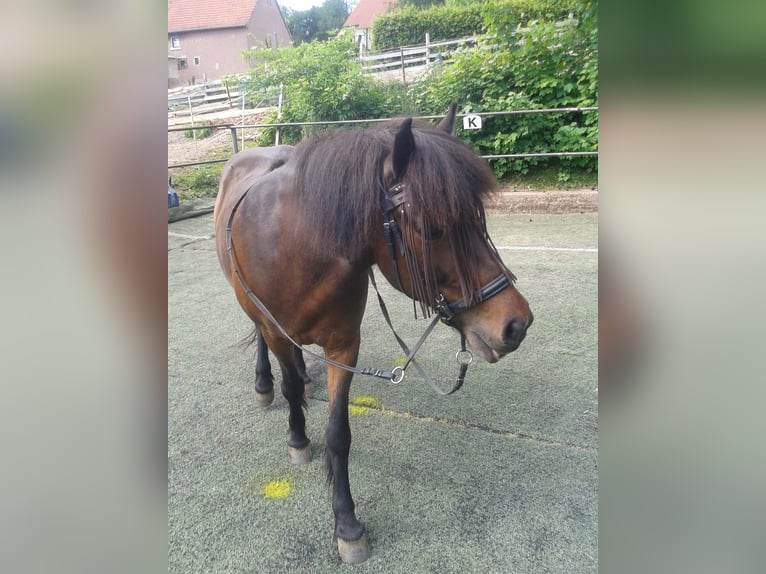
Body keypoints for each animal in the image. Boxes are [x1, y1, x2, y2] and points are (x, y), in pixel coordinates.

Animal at [213, 104, 533, 564]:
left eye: (478, 220)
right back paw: (264, 384)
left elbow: (338, 434)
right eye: (433, 229)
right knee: (260, 339)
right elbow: (288, 388)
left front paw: (346, 523)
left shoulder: (344, 346)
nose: (516, 323)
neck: (294, 248)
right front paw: (297, 436)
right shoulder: (276, 329)